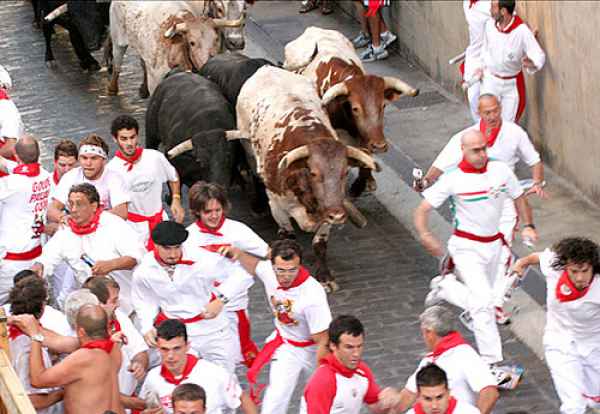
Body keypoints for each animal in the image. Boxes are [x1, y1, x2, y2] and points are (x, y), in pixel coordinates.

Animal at [282, 27, 418, 197]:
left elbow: (366, 158)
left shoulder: (366, 138)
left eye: (383, 106)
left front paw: (363, 183)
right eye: (355, 108)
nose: (379, 146)